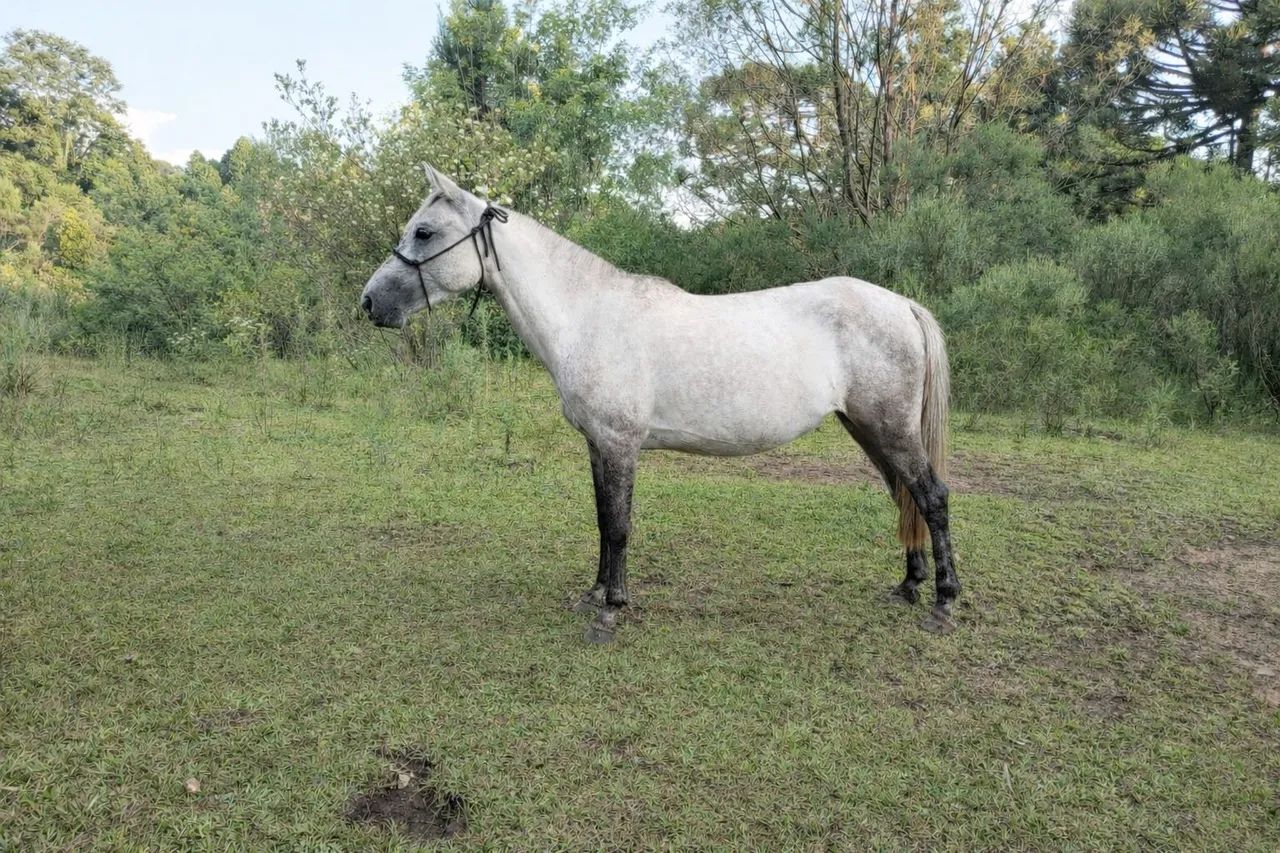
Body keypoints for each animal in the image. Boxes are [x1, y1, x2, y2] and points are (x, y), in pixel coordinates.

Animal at [360, 166, 959, 643]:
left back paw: (944, 603)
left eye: (424, 231)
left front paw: (611, 612)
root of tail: (902, 305)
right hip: (867, 428)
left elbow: (620, 526)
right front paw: (594, 594)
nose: (369, 303)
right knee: (904, 495)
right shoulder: (598, 445)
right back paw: (908, 586)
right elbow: (603, 521)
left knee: (931, 496)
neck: (588, 318)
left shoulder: (620, 445)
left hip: (890, 428)